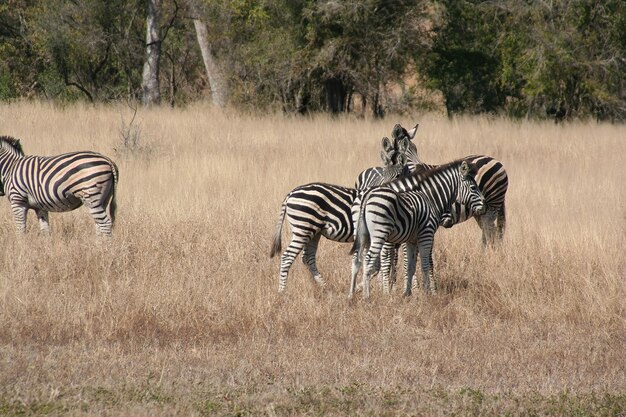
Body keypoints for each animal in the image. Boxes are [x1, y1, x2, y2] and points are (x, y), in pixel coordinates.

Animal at [268, 137, 410, 292]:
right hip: (303, 228)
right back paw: (282, 292)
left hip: (314, 231)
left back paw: (325, 288)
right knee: (287, 257)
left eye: (398, 175)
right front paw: (373, 289)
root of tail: (291, 193)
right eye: (383, 174)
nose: (383, 190)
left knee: (307, 257)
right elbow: (382, 265)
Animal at [348, 159, 486, 300]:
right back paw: (368, 295)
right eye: (473, 188)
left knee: (358, 260)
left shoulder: (411, 240)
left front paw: (407, 293)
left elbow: (411, 266)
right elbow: (425, 263)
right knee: (370, 260)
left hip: (362, 234)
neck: (429, 198)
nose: (484, 206)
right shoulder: (426, 234)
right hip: (380, 234)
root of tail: (366, 194)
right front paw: (427, 293)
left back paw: (352, 294)